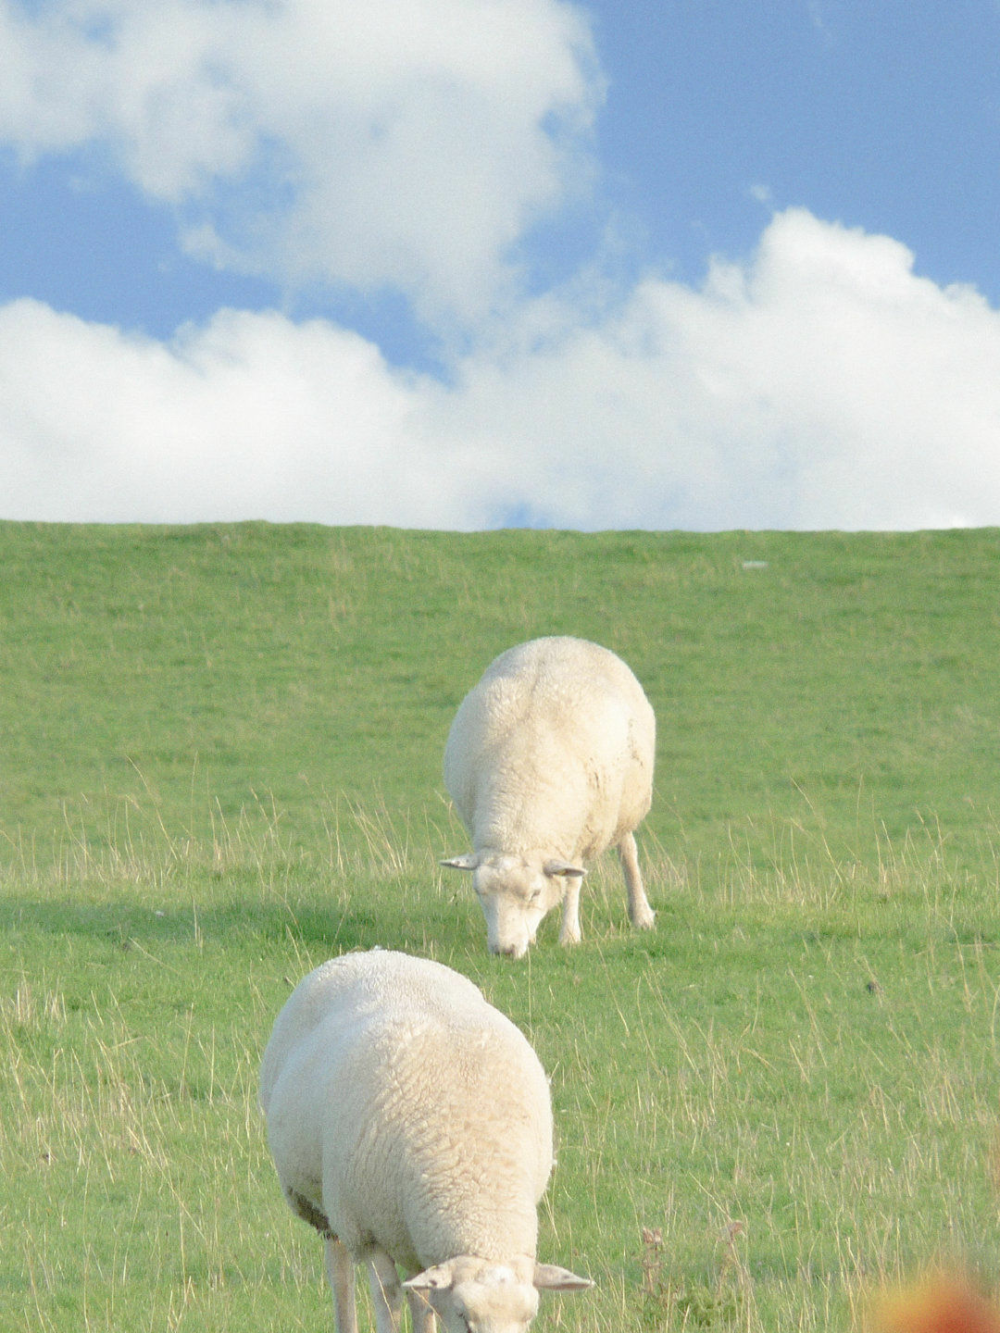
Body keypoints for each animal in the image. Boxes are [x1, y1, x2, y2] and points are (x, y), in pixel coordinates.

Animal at [262, 949, 600, 1333]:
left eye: (528, 1317)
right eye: (465, 1317)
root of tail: (372, 954)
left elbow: (421, 1299)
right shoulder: (366, 1231)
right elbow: (387, 1298)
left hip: (408, 1231)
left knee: (418, 1293)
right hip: (322, 1207)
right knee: (340, 1272)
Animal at [445, 637, 658, 959]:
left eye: (534, 893)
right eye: (479, 892)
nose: (504, 951)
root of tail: (564, 639)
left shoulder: (580, 837)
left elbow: (571, 884)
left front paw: (569, 936)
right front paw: (531, 938)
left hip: (623, 806)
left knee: (628, 851)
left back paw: (641, 914)